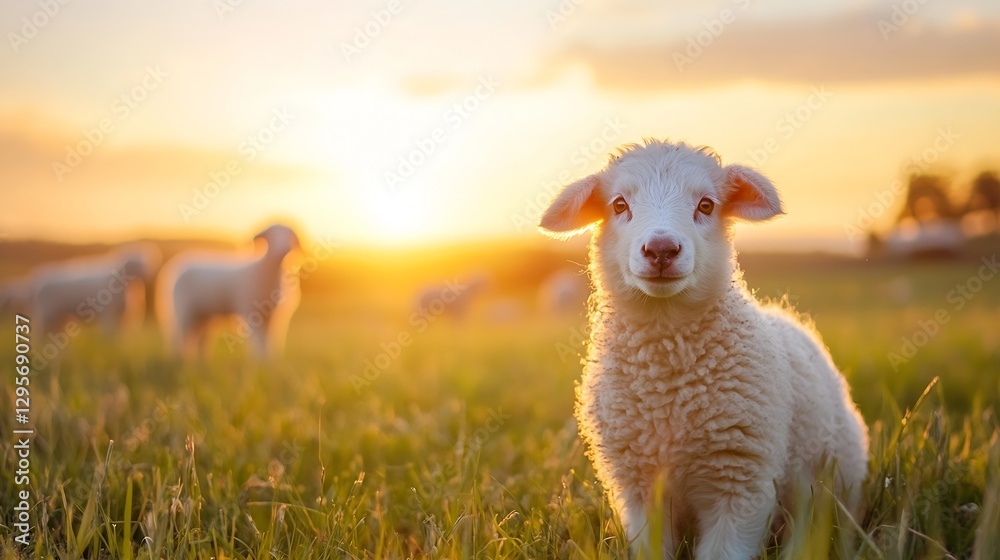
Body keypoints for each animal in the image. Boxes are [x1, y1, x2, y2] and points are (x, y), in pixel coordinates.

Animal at [28, 243, 161, 336]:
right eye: (136, 264)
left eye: (146, 263)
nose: (148, 275)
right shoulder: (108, 313)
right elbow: (109, 333)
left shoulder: (121, 314)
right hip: (46, 313)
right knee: (39, 334)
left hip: (58, 317)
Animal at [156, 224, 301, 358]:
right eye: (272, 235)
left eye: (289, 236)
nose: (284, 249)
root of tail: (176, 265)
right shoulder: (251, 311)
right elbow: (259, 343)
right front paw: (261, 362)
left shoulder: (274, 316)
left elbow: (272, 340)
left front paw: (272, 361)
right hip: (184, 309)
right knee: (178, 337)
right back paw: (177, 360)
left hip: (202, 314)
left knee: (199, 340)